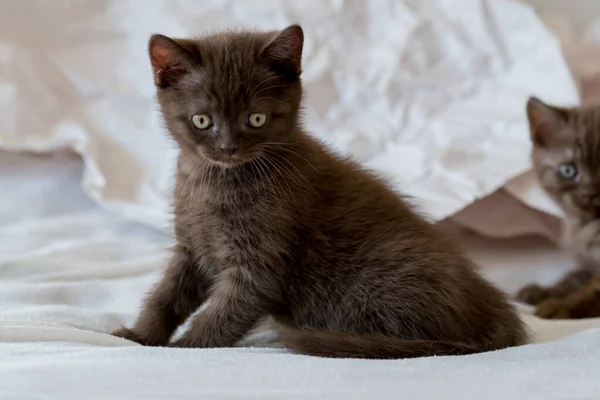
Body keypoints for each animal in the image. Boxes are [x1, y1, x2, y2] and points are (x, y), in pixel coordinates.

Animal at [112, 25, 524, 358]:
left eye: (256, 118)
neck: (212, 183)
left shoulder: (260, 261)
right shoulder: (190, 247)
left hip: (373, 287)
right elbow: (166, 295)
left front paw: (185, 349)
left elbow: (223, 311)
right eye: (202, 120)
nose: (228, 147)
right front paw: (139, 335)